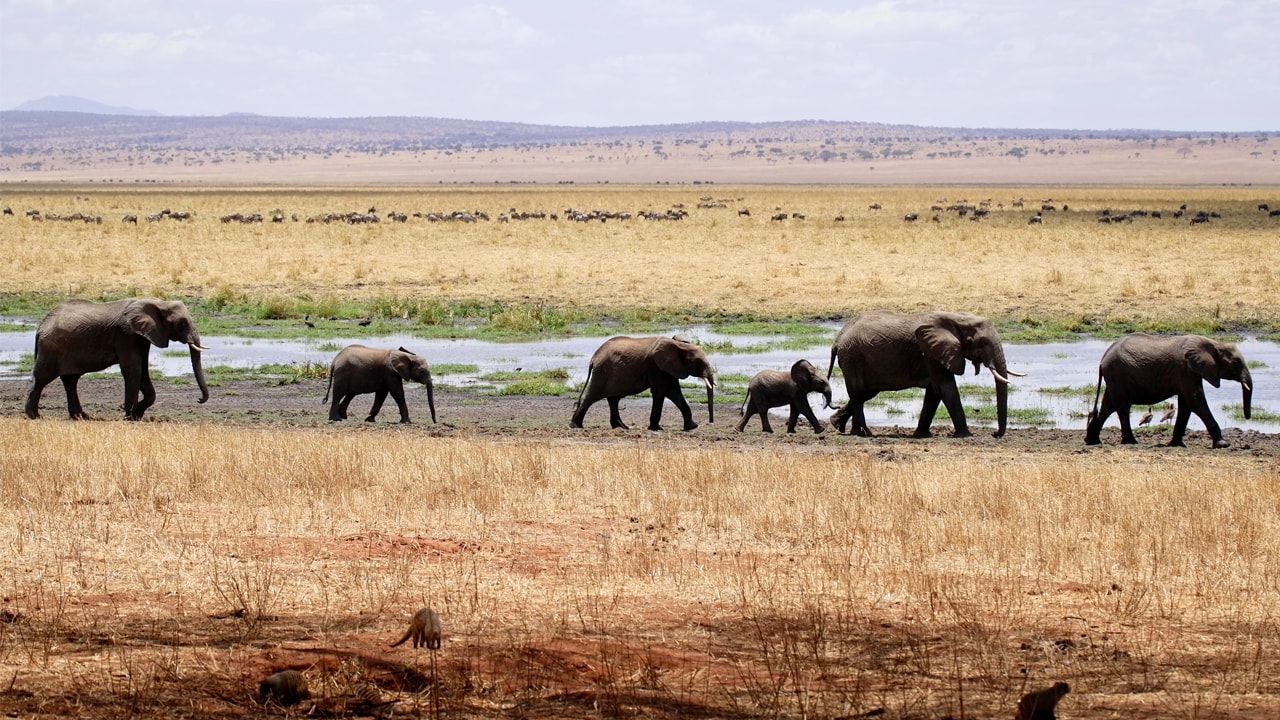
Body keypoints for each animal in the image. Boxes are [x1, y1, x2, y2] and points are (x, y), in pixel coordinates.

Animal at [24, 297, 209, 420]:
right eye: (183, 323)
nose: (199, 400)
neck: (160, 303)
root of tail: (41, 326)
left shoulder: (142, 336)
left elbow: (143, 371)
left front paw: (137, 414)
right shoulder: (126, 334)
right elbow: (133, 369)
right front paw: (130, 417)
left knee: (70, 380)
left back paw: (82, 417)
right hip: (50, 349)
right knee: (42, 378)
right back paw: (34, 416)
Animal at [573, 335, 716, 427]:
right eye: (699, 363)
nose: (710, 421)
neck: (680, 345)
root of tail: (594, 357)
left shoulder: (668, 368)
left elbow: (674, 392)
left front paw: (692, 427)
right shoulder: (655, 367)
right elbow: (661, 391)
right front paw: (656, 428)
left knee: (613, 399)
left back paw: (621, 427)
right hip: (602, 373)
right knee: (591, 396)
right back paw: (575, 425)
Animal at [829, 308, 1018, 438]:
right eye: (981, 342)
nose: (994, 434)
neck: (956, 318)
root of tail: (838, 339)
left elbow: (934, 392)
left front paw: (922, 435)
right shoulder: (930, 353)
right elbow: (946, 387)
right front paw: (966, 435)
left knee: (864, 393)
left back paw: (839, 425)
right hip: (852, 357)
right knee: (858, 393)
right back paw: (863, 433)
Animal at [1080, 333, 1249, 445]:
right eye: (1235, 363)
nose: (1247, 417)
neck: (1214, 343)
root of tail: (1103, 358)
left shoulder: (1190, 372)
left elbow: (1186, 405)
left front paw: (1177, 444)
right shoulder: (1185, 369)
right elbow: (1195, 401)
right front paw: (1223, 444)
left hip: (1114, 377)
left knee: (1108, 405)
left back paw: (1092, 440)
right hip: (1117, 374)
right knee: (1122, 406)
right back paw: (1131, 442)